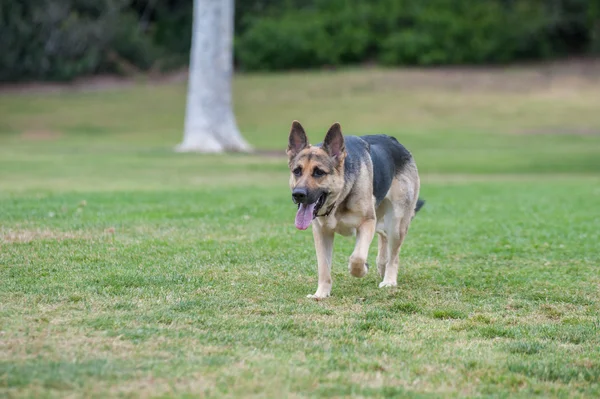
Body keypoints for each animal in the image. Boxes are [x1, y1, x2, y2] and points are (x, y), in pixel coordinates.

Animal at [284, 120, 422, 298]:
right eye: (297, 171)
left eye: (319, 172)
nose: (298, 194)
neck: (340, 198)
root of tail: (394, 141)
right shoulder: (321, 232)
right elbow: (323, 267)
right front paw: (321, 294)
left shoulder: (367, 223)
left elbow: (357, 258)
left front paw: (361, 270)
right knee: (384, 236)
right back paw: (381, 266)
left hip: (396, 223)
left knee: (394, 255)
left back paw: (389, 280)